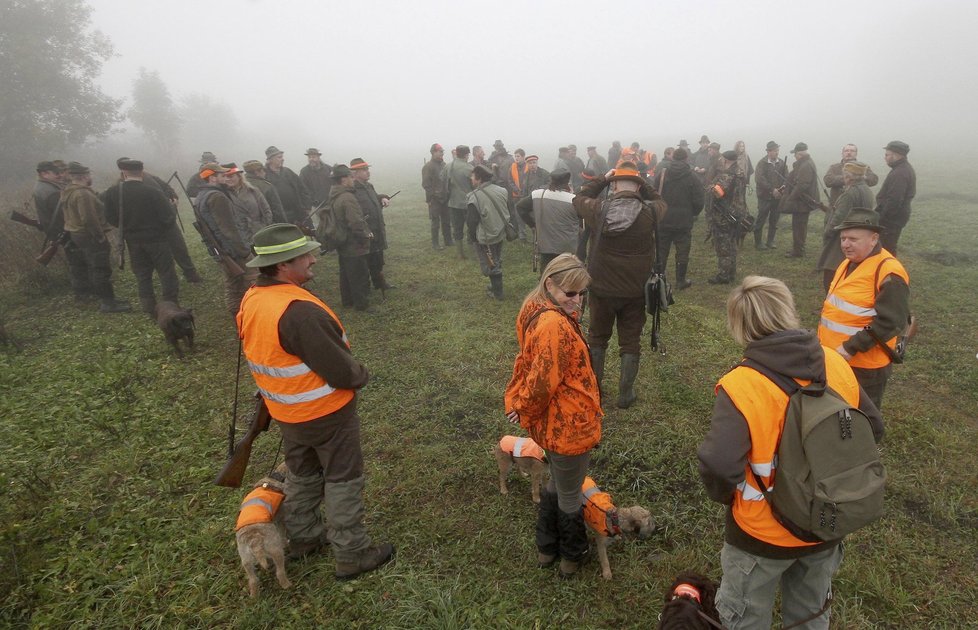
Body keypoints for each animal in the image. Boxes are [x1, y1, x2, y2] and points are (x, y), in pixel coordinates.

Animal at [235, 462, 292, 600]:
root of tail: (254, 540)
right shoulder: (281, 519)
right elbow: (283, 534)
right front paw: (286, 542)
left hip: (246, 561)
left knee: (253, 580)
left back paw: (254, 597)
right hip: (275, 550)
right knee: (279, 572)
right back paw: (287, 585)